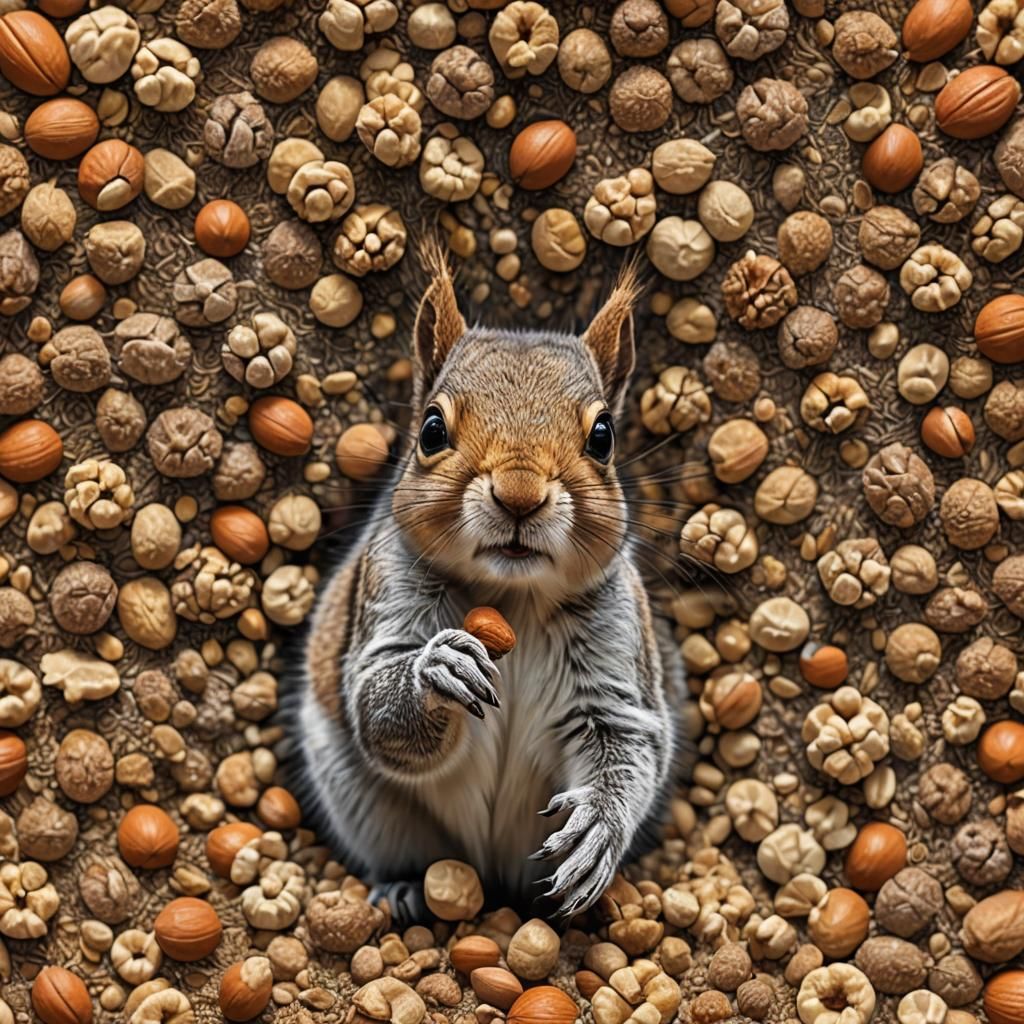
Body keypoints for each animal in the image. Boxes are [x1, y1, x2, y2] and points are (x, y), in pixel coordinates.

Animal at [288, 245, 688, 920]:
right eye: (430, 430)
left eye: (603, 436)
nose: (520, 495)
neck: (513, 598)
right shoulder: (388, 588)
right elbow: (376, 702)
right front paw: (436, 670)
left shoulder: (616, 648)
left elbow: (625, 740)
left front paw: (599, 828)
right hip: (370, 806)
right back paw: (404, 888)